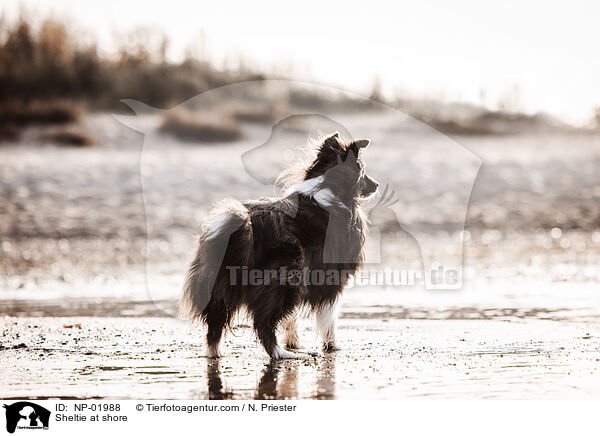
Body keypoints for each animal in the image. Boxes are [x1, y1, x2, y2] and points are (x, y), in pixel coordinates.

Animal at [178, 134, 378, 358]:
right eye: (362, 169)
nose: (377, 185)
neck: (327, 184)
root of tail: (247, 224)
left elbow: (292, 319)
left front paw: (294, 342)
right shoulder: (331, 277)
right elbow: (329, 317)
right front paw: (332, 347)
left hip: (221, 283)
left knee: (216, 322)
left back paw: (216, 353)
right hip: (285, 279)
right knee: (263, 321)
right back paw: (280, 353)